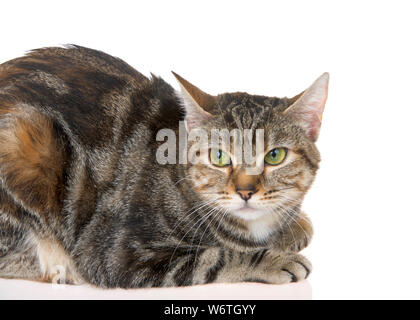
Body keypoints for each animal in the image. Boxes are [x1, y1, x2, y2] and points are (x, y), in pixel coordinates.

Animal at [0, 45, 328, 288]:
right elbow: (214, 257)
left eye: (274, 156)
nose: (245, 191)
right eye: (219, 157)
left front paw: (293, 227)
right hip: (26, 142)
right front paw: (274, 259)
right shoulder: (118, 253)